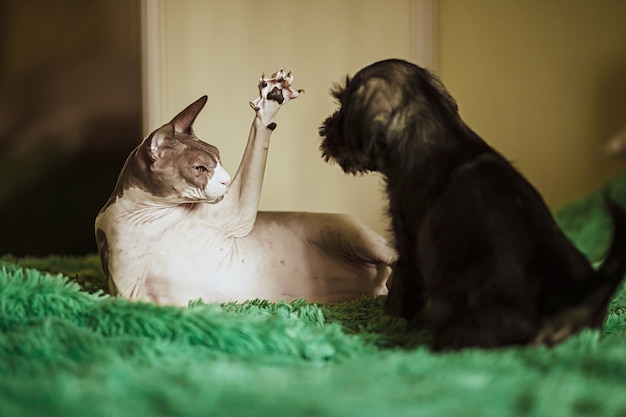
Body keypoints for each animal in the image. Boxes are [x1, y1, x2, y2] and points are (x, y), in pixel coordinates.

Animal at [320, 58, 624, 350]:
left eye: (343, 105)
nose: (325, 128)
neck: (431, 130)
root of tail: (572, 298)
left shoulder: (407, 241)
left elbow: (401, 290)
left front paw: (389, 320)